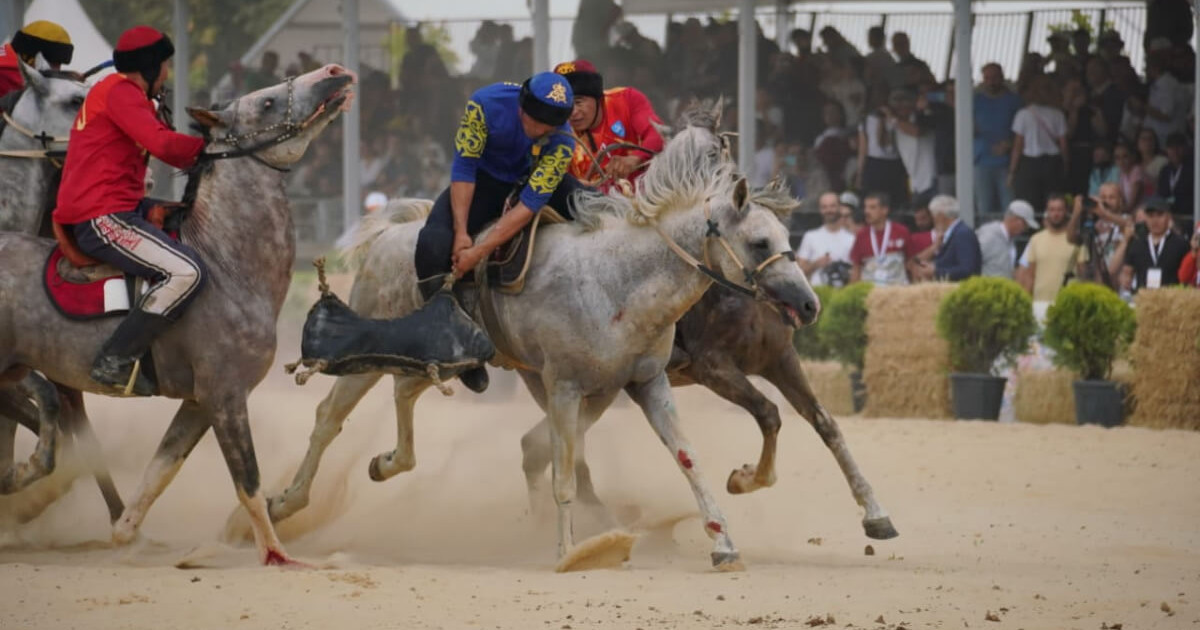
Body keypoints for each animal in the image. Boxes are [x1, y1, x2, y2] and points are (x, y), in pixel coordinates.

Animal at [0, 66, 355, 561]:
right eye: (265, 102)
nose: (333, 73)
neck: (227, 263)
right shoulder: (225, 397)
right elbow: (247, 480)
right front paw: (275, 554)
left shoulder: (198, 404)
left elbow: (158, 473)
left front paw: (126, 534)